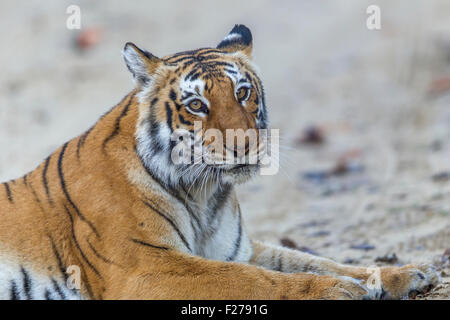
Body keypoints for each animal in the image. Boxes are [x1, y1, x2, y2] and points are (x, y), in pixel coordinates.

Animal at [0, 25, 440, 300]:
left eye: (242, 92)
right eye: (197, 105)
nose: (244, 144)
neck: (204, 193)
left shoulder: (235, 249)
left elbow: (315, 260)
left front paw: (406, 274)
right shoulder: (145, 268)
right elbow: (251, 279)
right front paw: (336, 292)